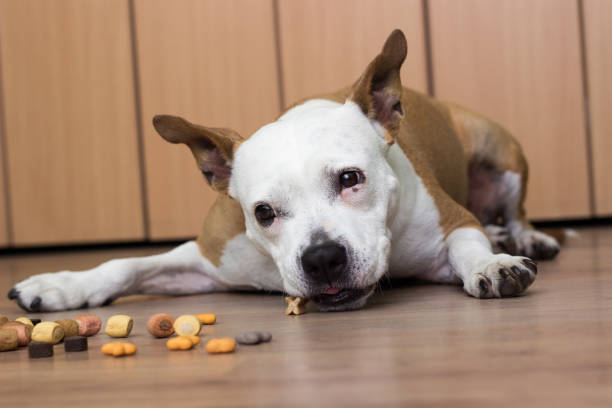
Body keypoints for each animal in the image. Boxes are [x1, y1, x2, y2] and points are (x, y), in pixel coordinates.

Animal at [8, 30, 560, 313]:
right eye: (264, 212)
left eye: (350, 179)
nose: (322, 258)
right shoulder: (210, 257)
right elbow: (128, 265)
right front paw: (62, 285)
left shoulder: (452, 221)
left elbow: (468, 245)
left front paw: (493, 264)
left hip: (499, 149)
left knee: (513, 209)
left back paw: (526, 238)